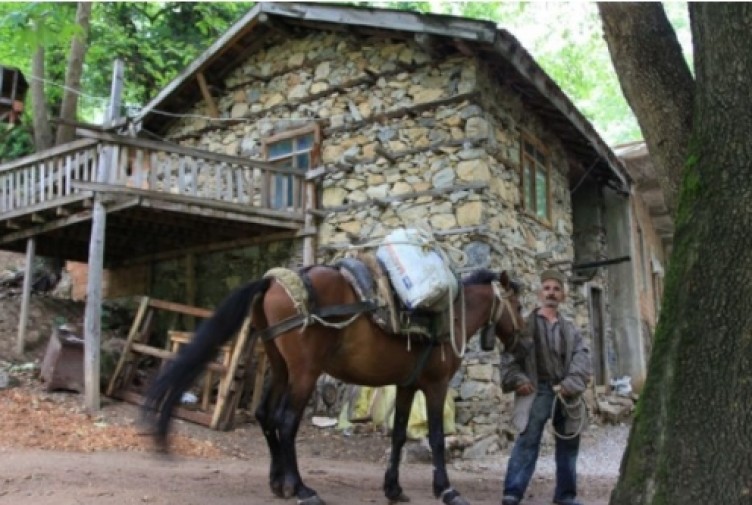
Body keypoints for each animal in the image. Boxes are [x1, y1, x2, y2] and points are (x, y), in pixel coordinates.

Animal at [142, 264, 524, 505]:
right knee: (285, 422)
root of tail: (273, 283)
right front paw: (446, 490)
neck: (451, 315)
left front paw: (393, 488)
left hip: (281, 368)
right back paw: (301, 489)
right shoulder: (435, 384)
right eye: (518, 305)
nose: (521, 337)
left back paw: (279, 483)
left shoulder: (405, 386)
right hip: (304, 373)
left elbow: (399, 435)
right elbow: (436, 439)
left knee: (266, 415)